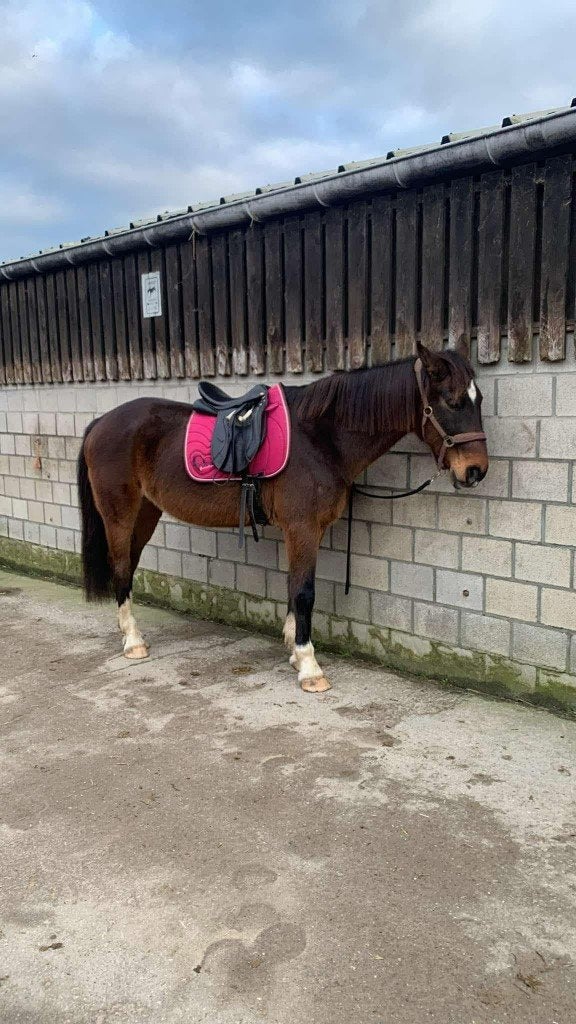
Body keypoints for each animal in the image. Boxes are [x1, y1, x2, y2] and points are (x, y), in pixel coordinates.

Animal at [77, 342, 488, 693]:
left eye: (478, 399)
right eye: (452, 401)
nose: (476, 471)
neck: (321, 437)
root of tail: (101, 422)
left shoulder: (306, 531)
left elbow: (294, 588)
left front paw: (293, 650)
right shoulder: (302, 528)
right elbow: (305, 592)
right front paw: (309, 667)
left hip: (147, 511)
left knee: (129, 566)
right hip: (120, 513)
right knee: (120, 566)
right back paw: (133, 642)